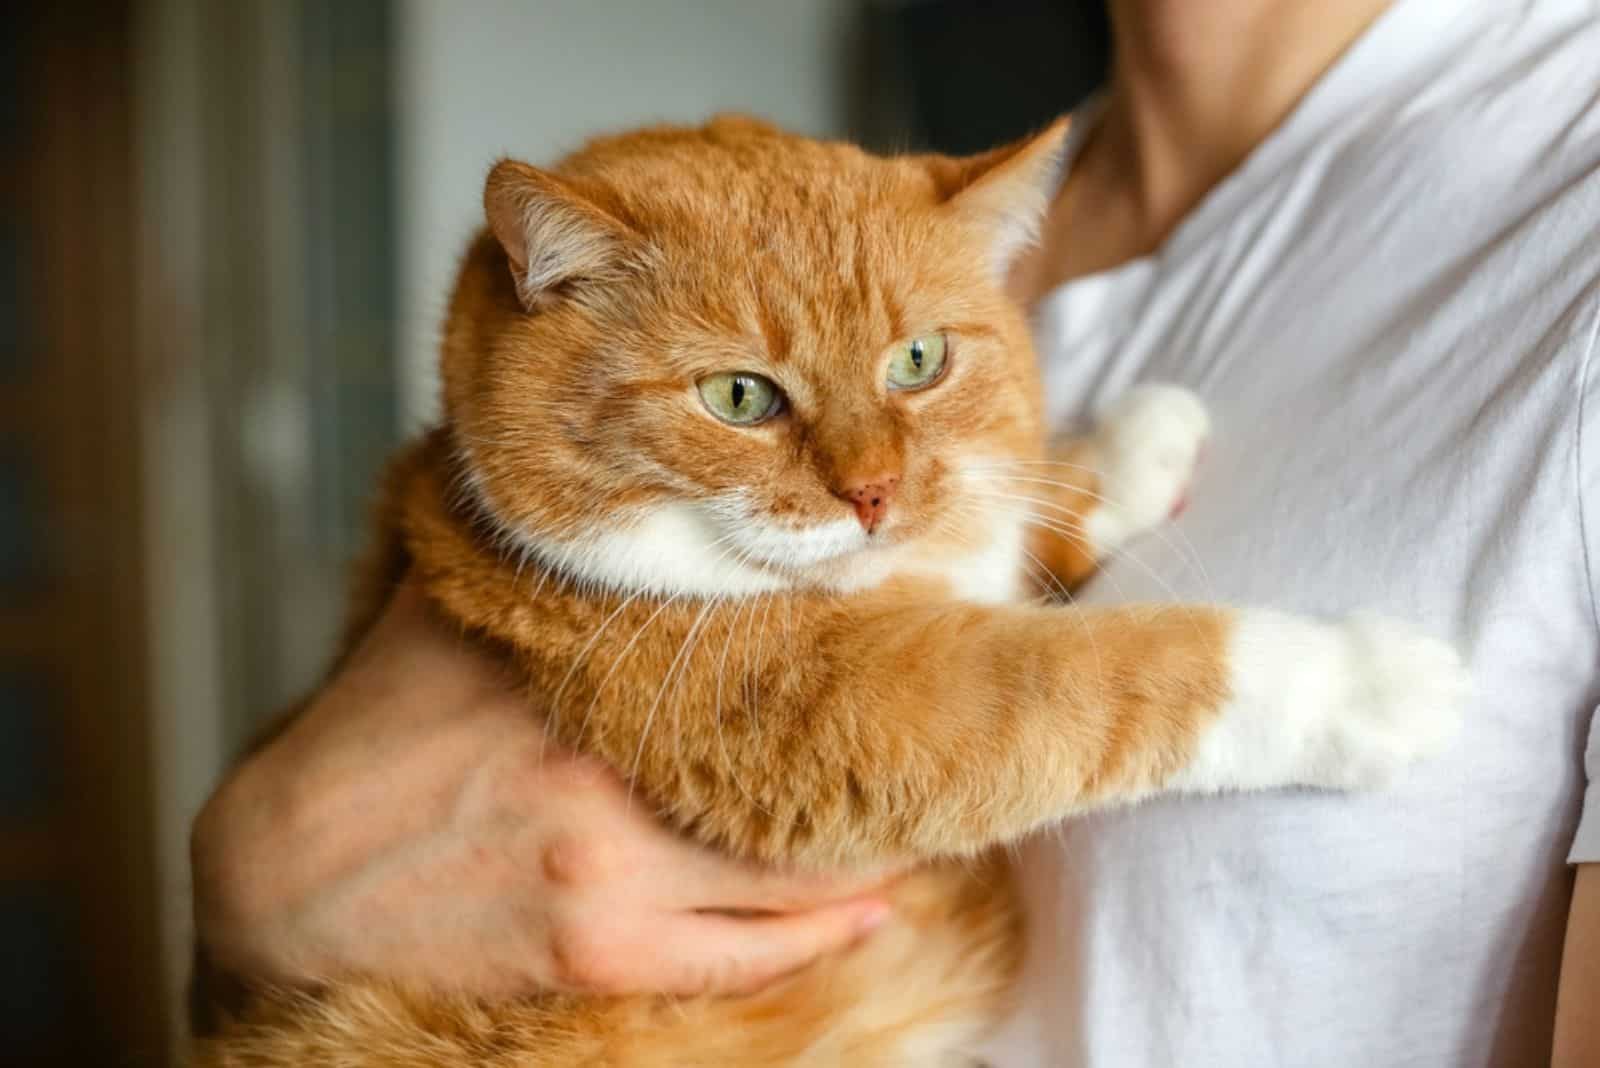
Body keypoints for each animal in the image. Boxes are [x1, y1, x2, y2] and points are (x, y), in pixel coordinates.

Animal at [193, 116, 1465, 1068]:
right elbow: (1099, 674)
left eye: (919, 361)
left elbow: (1012, 510)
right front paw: (1366, 681)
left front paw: (1120, 446)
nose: (873, 493)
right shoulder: (841, 714)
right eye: (740, 397)